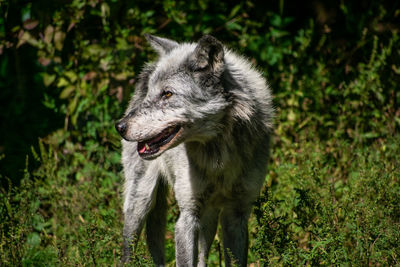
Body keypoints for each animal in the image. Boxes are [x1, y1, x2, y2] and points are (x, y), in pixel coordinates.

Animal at [114, 34, 274, 266]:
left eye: (167, 94)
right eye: (150, 95)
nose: (119, 126)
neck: (219, 158)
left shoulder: (236, 215)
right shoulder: (187, 216)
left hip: (208, 217)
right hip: (141, 201)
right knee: (128, 249)